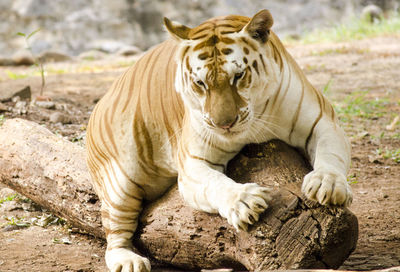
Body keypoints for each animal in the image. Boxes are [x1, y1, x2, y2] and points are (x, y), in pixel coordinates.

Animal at [86, 9, 352, 270]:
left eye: (239, 76)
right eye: (200, 83)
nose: (223, 124)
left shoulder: (324, 122)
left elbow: (330, 155)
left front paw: (327, 184)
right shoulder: (193, 162)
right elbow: (215, 183)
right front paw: (243, 201)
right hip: (119, 184)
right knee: (114, 233)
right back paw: (127, 260)